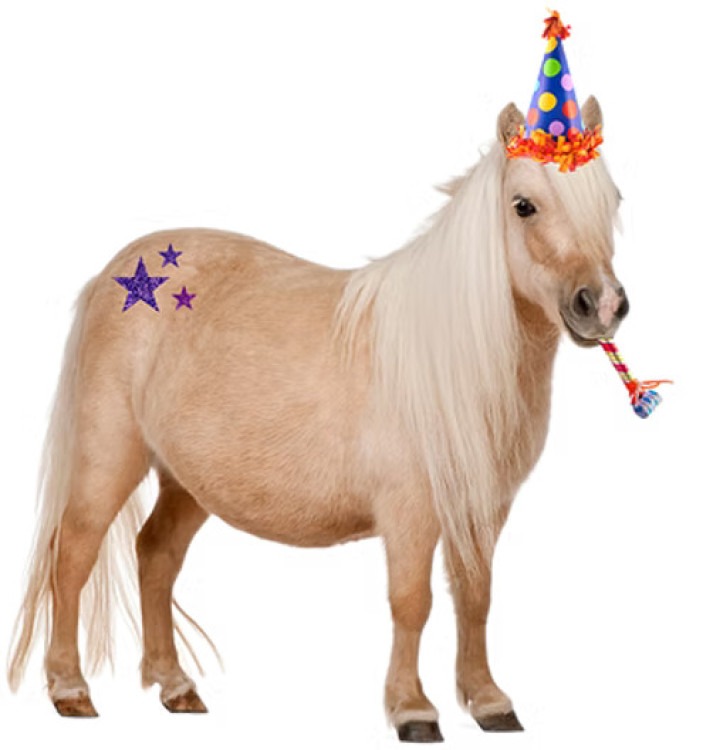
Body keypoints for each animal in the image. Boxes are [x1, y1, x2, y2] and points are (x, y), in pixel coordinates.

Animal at [8, 97, 627, 742]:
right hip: (108, 457)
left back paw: (176, 687)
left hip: (188, 482)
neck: (448, 355)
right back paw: (70, 690)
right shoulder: (410, 512)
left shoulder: (483, 510)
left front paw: (488, 702)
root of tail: (118, 272)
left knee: (155, 555)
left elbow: (475, 598)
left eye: (613, 200)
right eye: (523, 204)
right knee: (72, 555)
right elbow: (412, 602)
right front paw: (413, 710)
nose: (603, 305)